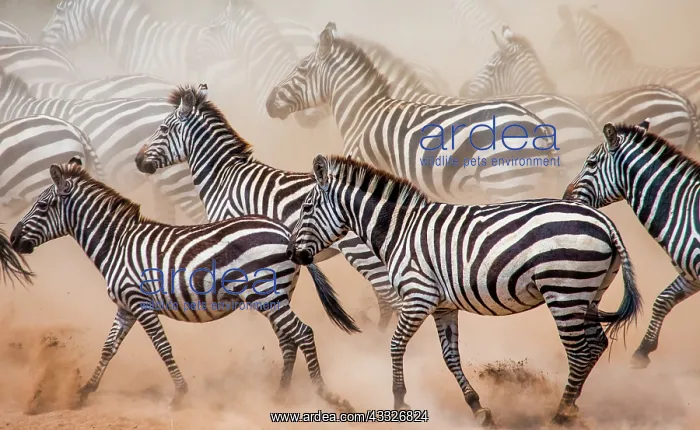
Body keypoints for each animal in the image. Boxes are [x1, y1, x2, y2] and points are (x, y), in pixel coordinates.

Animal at [9, 157, 358, 412]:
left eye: (42, 206)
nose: (12, 239)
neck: (117, 245)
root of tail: (286, 233)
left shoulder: (140, 303)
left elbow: (162, 347)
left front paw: (179, 394)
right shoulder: (125, 306)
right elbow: (109, 347)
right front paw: (85, 391)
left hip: (268, 295)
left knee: (303, 333)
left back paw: (324, 394)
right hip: (274, 296)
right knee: (288, 340)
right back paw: (280, 395)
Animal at [287, 153, 642, 427]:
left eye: (306, 208)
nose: (292, 253)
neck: (399, 230)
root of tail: (602, 219)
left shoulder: (418, 296)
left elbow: (396, 345)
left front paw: (399, 403)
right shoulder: (443, 306)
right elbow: (450, 357)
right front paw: (478, 409)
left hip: (564, 290)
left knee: (580, 351)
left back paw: (558, 415)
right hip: (587, 293)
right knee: (595, 344)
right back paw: (571, 409)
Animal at [563, 120, 700, 370]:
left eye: (591, 163)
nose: (565, 198)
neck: (683, 209)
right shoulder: (690, 272)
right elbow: (664, 299)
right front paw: (643, 351)